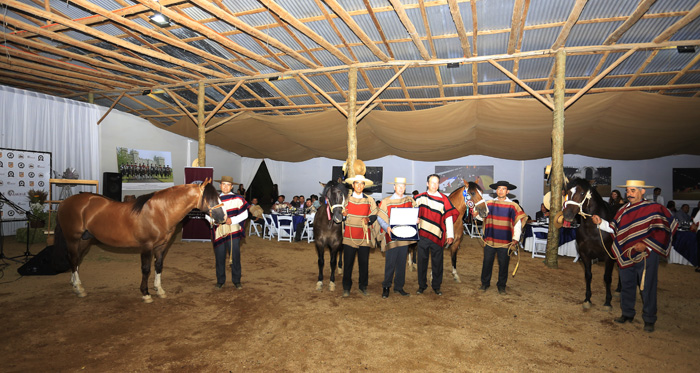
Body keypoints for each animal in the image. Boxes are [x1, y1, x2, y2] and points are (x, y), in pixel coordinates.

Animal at [55, 178, 226, 302]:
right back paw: (78, 288)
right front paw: (146, 293)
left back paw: (76, 285)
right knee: (73, 259)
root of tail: (65, 202)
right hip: (72, 238)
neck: (161, 212)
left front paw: (159, 290)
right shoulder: (146, 246)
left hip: (85, 239)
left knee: (75, 260)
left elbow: (158, 266)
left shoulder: (161, 246)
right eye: (211, 199)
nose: (223, 217)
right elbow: (146, 269)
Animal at [564, 179, 624, 310]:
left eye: (582, 193)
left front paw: (607, 302)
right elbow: (588, 276)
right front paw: (587, 299)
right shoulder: (585, 255)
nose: (567, 215)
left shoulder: (609, 257)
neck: (593, 229)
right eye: (568, 192)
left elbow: (607, 278)